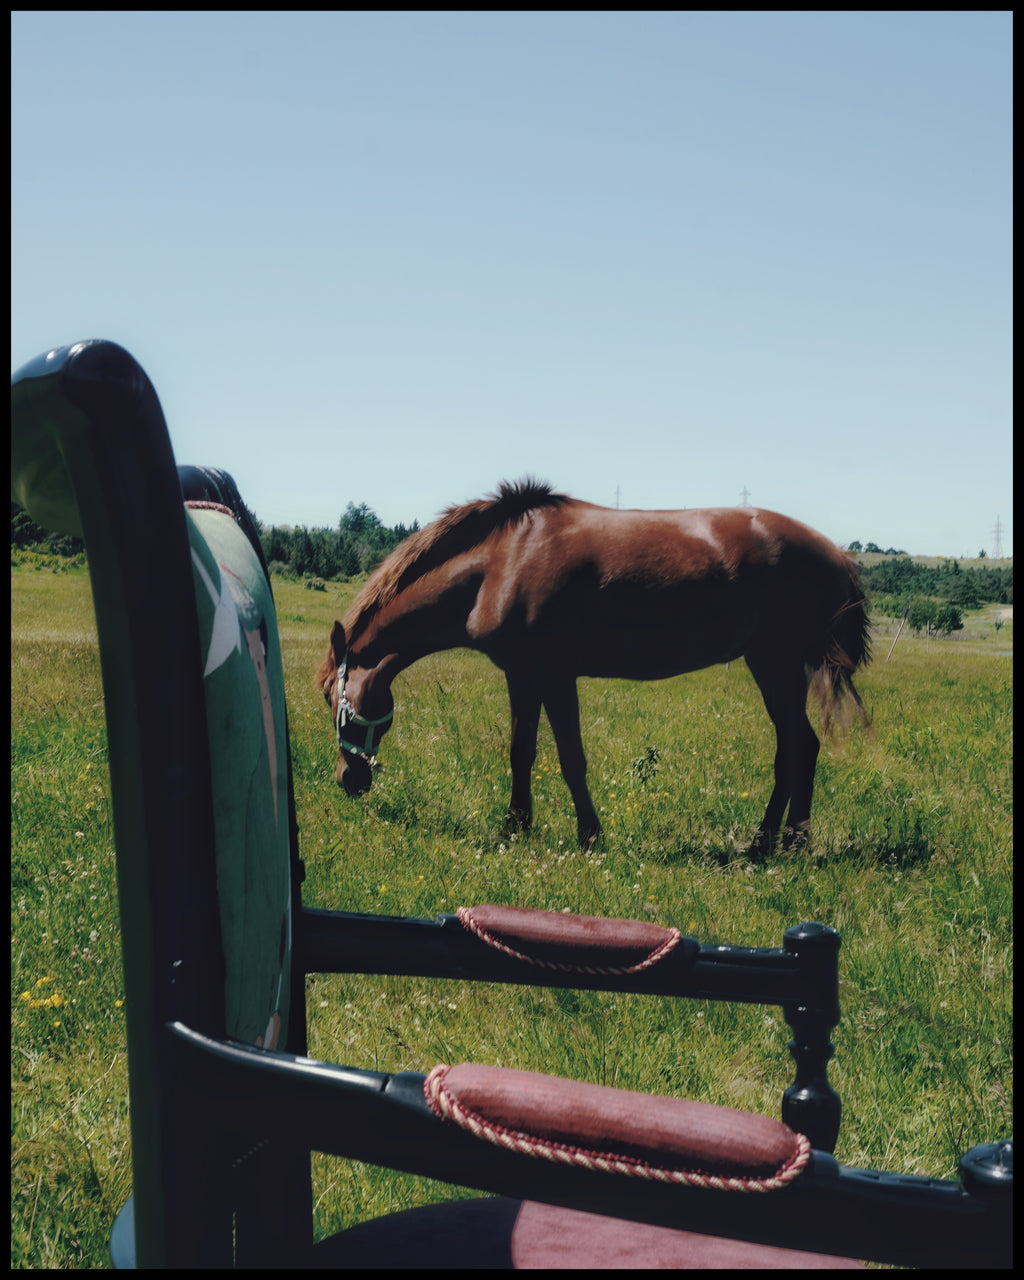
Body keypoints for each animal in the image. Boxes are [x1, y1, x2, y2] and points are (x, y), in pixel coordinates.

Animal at [317, 479, 870, 856]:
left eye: (330, 698)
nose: (348, 779)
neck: (501, 562)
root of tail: (837, 554)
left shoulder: (553, 675)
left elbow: (566, 758)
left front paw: (585, 834)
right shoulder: (524, 675)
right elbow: (523, 752)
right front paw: (518, 825)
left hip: (775, 665)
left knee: (796, 747)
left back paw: (771, 842)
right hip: (774, 667)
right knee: (801, 746)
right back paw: (783, 840)